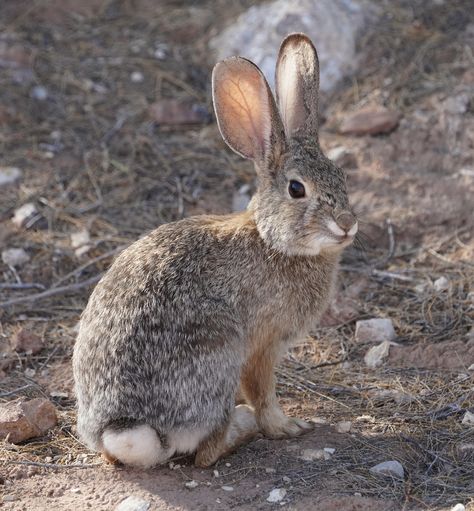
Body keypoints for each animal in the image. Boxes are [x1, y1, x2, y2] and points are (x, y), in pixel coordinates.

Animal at [72, 34, 358, 470]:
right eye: (297, 189)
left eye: (341, 177)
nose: (347, 223)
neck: (272, 241)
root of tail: (124, 427)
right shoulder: (261, 344)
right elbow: (263, 392)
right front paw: (287, 427)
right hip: (218, 348)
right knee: (206, 453)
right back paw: (242, 429)